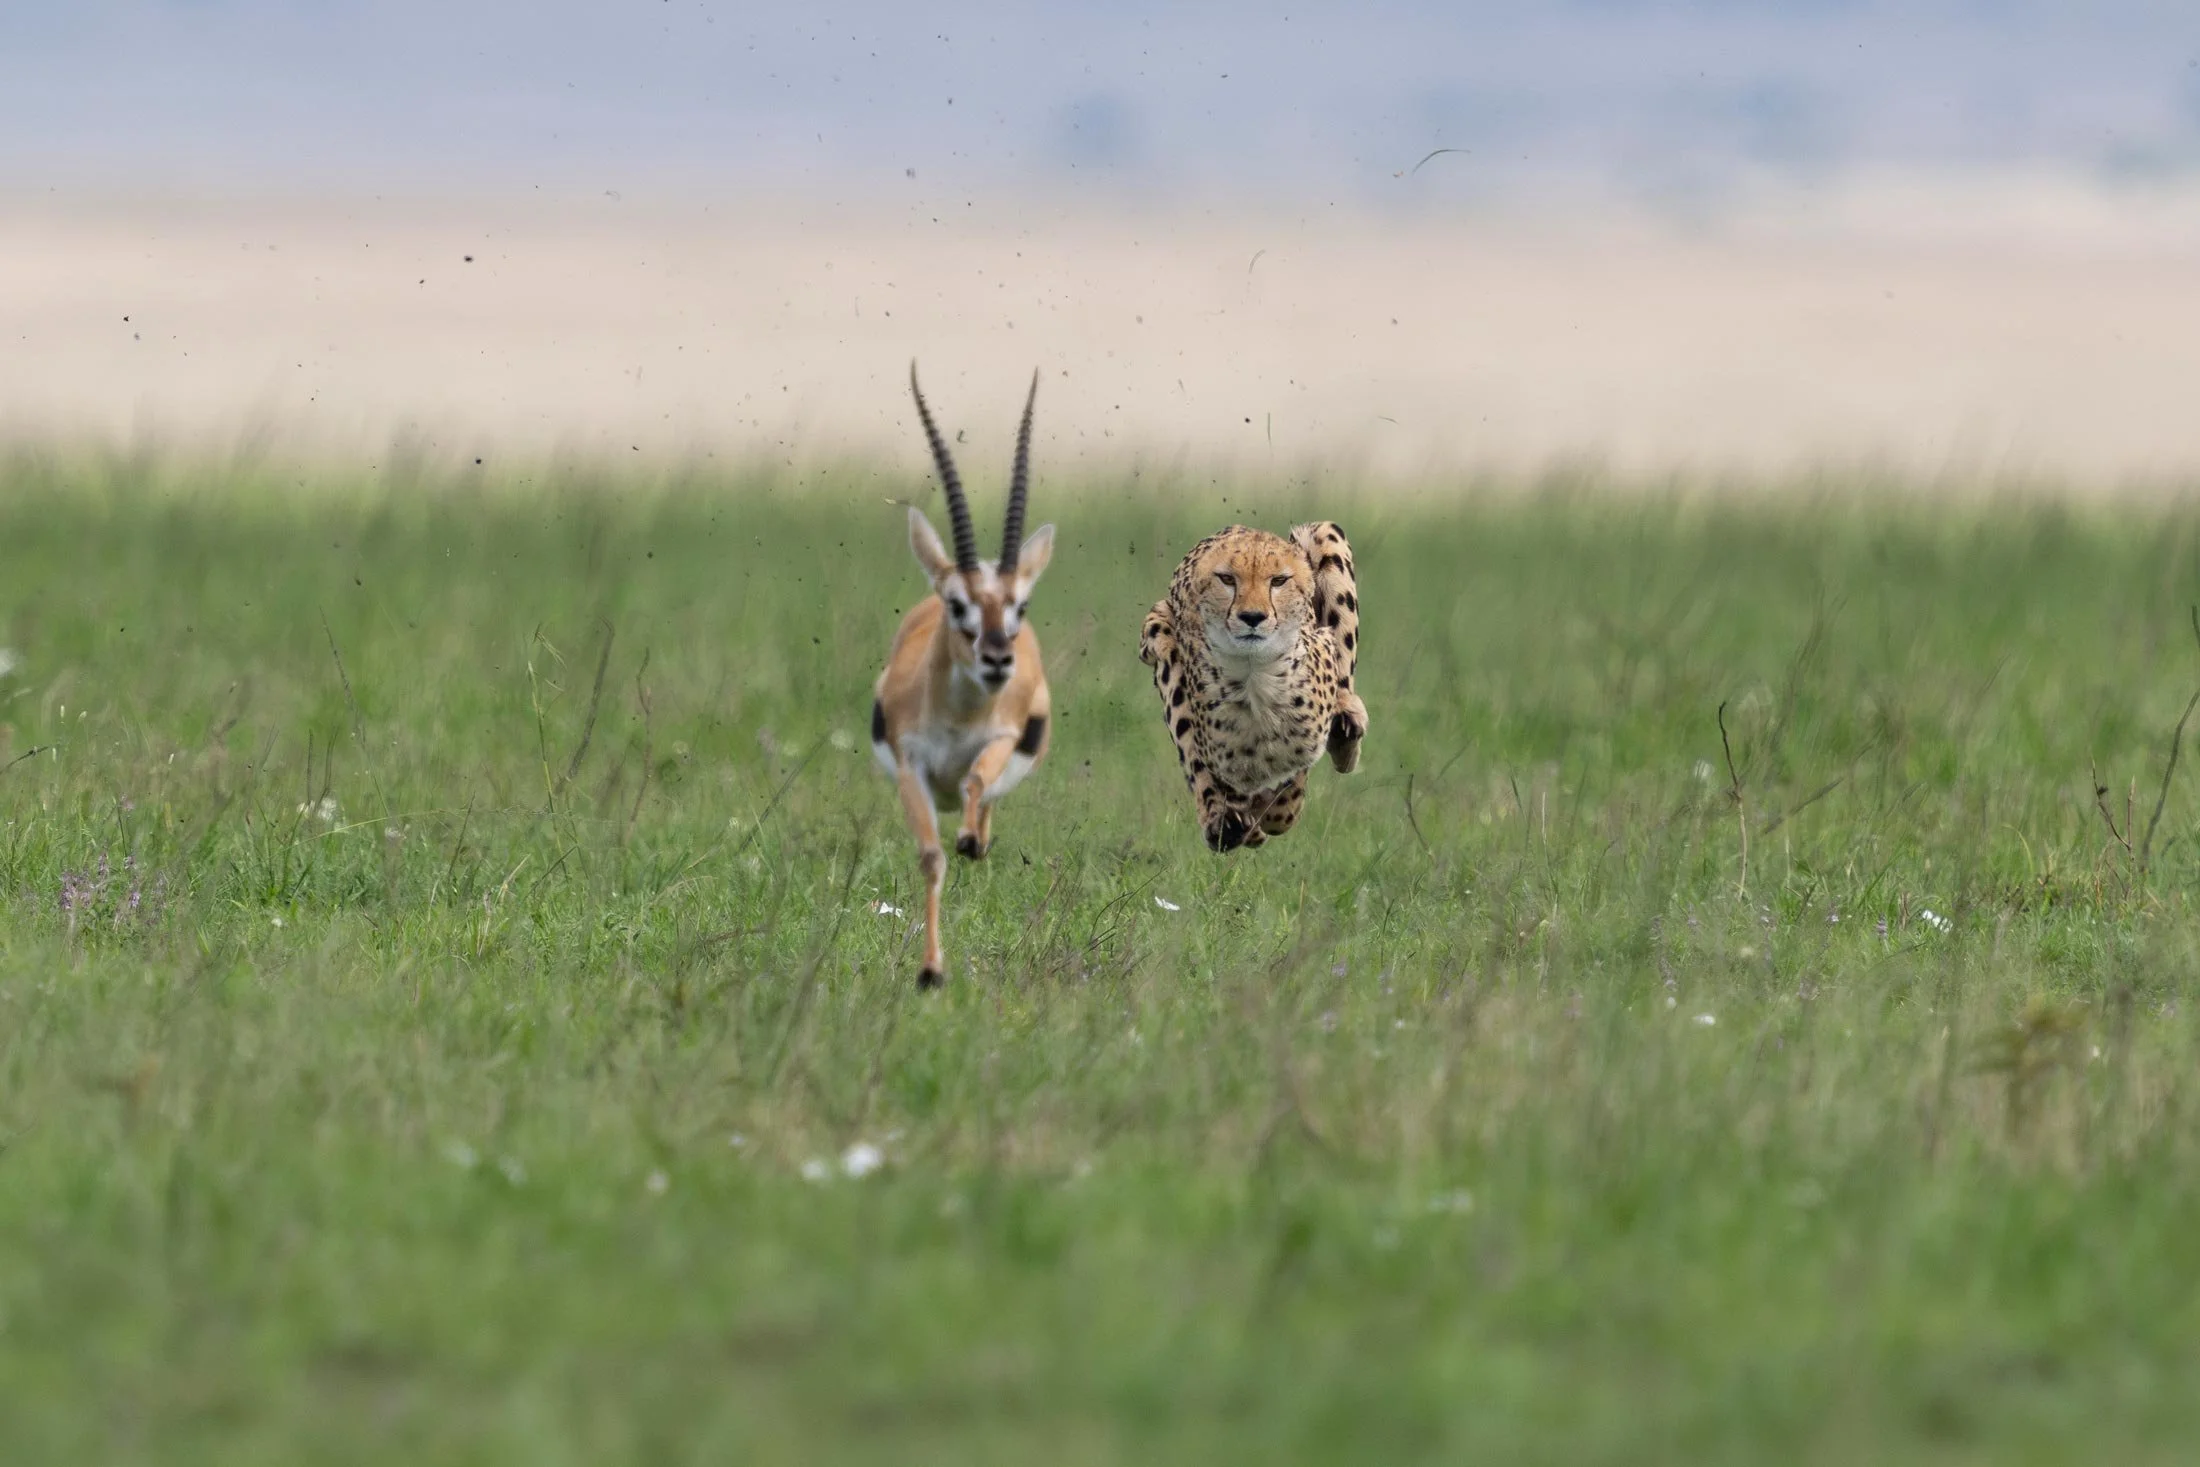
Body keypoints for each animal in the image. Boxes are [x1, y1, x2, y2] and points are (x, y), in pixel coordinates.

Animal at [1138, 520, 1367, 852]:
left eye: (1279, 581)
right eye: (1227, 579)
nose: (1252, 617)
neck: (1255, 676)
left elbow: (1289, 793)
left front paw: (1271, 814)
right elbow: (1201, 761)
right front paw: (1230, 821)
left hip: (1324, 534)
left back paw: (1346, 729)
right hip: (1159, 629)